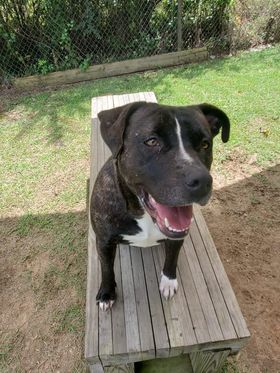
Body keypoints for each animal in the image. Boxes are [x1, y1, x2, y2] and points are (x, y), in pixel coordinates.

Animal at [90, 100, 230, 310]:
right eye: (152, 141)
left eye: (205, 144)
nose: (203, 181)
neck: (144, 215)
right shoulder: (104, 241)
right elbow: (107, 268)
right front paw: (107, 293)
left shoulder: (176, 238)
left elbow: (172, 259)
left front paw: (168, 282)